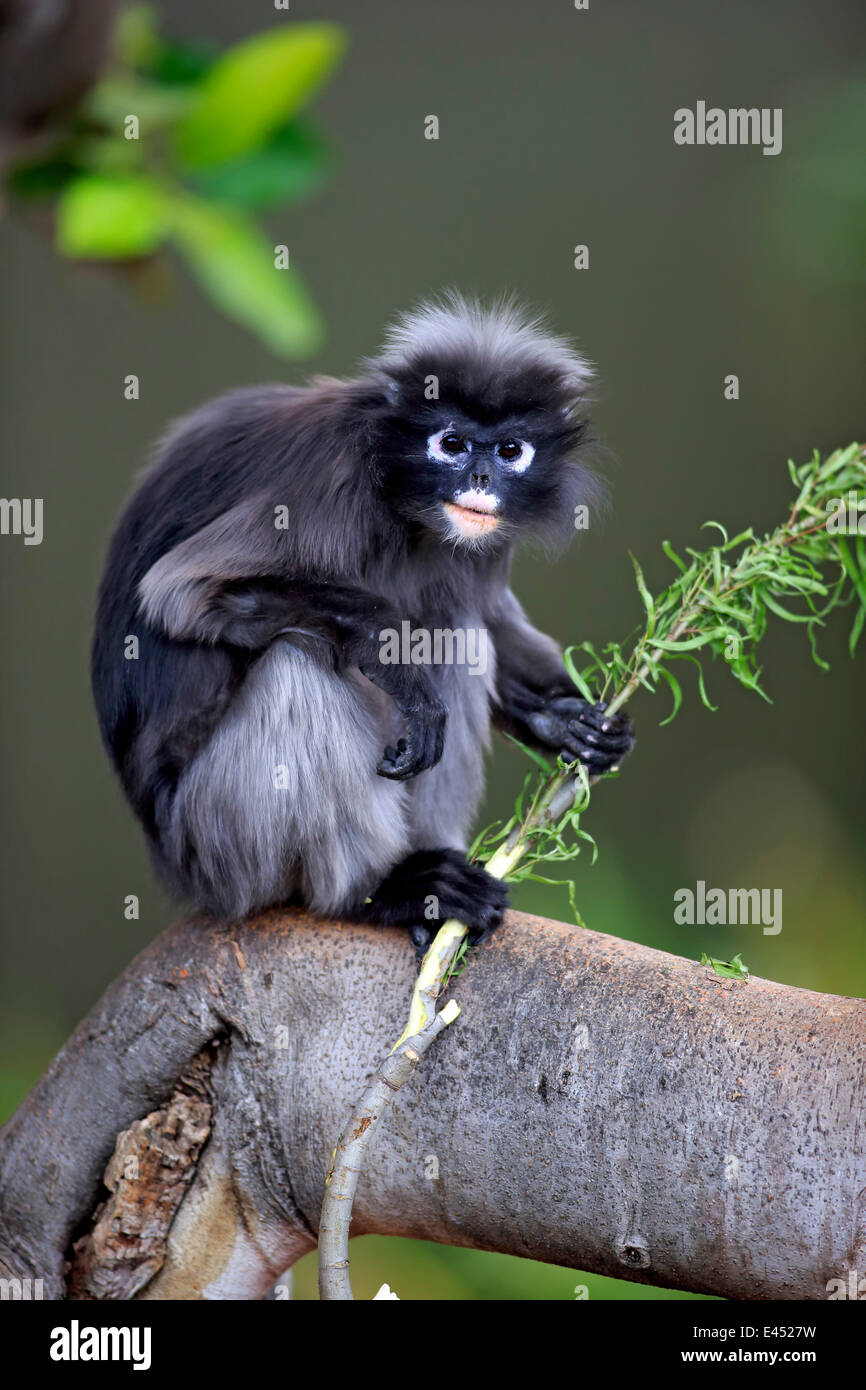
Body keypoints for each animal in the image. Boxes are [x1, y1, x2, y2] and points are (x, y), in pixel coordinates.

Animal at [91, 287, 633, 950]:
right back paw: (385, 891)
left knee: (453, 627)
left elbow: (488, 617)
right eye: (451, 444)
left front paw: (562, 720)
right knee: (298, 662)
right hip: (218, 845)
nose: (480, 478)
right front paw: (395, 661)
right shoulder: (330, 481)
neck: (400, 494)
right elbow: (182, 590)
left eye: (511, 451)